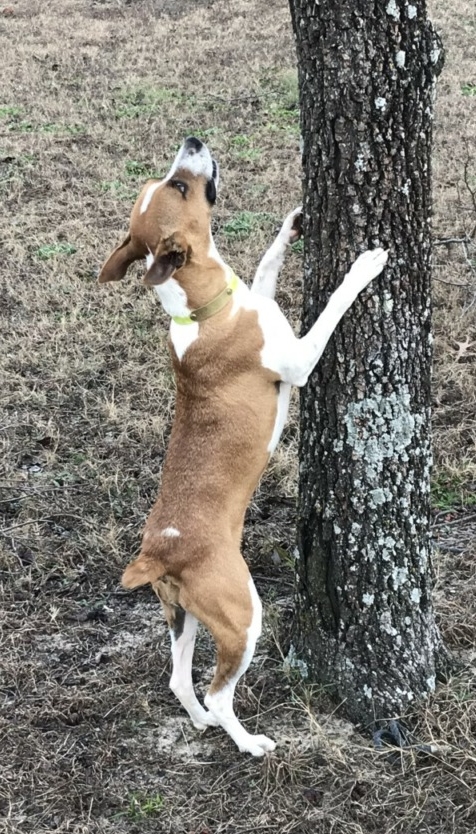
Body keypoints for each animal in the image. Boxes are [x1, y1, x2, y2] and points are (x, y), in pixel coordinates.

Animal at [98, 135, 388, 752]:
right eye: (180, 186)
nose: (193, 139)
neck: (200, 308)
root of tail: (159, 552)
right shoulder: (299, 359)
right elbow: (332, 307)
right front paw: (363, 266)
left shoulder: (259, 295)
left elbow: (267, 264)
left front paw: (293, 225)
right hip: (242, 616)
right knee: (215, 690)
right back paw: (248, 741)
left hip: (182, 615)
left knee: (180, 680)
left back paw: (202, 723)